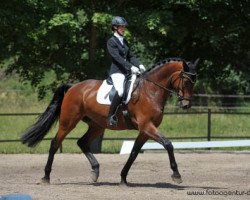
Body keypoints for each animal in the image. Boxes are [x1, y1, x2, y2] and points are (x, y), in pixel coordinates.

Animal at [21, 57, 199, 185]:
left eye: (194, 82)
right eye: (186, 81)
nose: (186, 104)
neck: (151, 91)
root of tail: (73, 86)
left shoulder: (145, 131)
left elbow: (134, 153)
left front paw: (123, 178)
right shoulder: (147, 127)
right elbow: (168, 144)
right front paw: (176, 175)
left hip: (97, 125)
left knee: (82, 142)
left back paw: (95, 172)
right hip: (68, 122)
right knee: (55, 143)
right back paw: (46, 177)